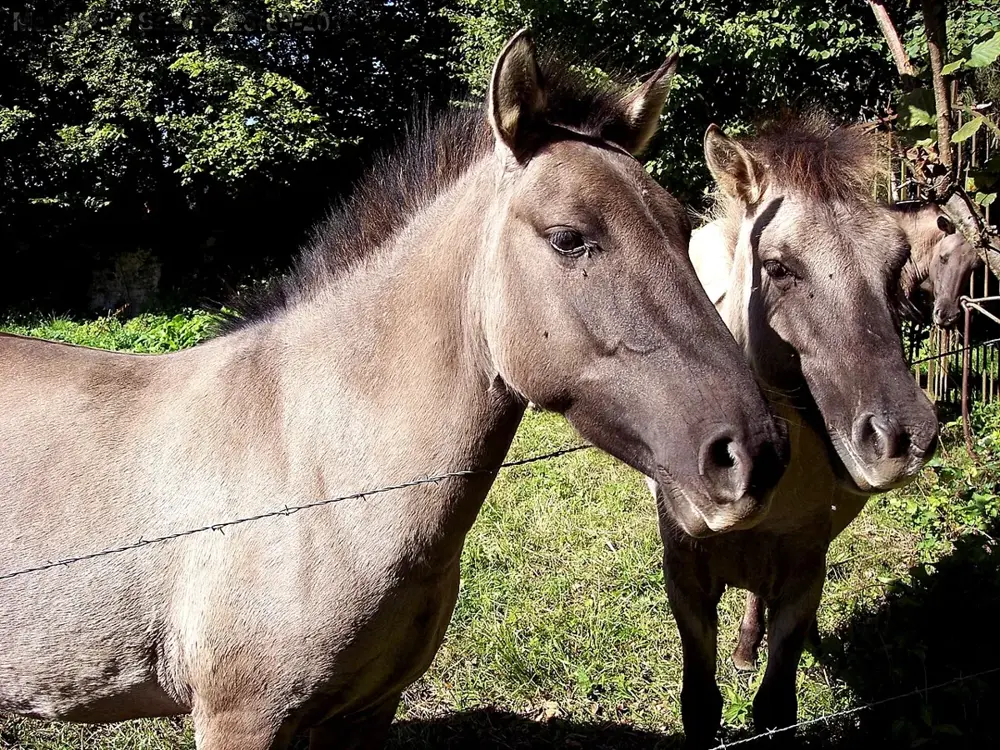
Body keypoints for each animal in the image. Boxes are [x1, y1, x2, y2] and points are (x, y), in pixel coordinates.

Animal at [0, 32, 788, 750]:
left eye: (682, 229)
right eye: (569, 237)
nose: (753, 452)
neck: (317, 475)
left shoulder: (364, 713)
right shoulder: (240, 720)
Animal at [651, 113, 939, 747]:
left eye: (895, 263)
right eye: (778, 267)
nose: (905, 437)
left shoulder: (805, 572)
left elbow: (776, 708)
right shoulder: (686, 578)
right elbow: (700, 706)